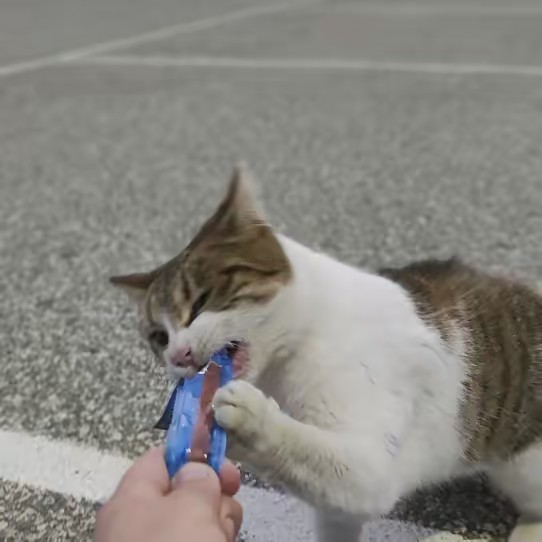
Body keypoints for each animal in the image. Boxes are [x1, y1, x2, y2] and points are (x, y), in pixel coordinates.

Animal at [111, 164, 542, 542]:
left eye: (201, 301)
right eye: (158, 337)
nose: (179, 355)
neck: (301, 342)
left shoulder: (374, 461)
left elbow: (326, 458)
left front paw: (250, 421)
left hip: (524, 467)